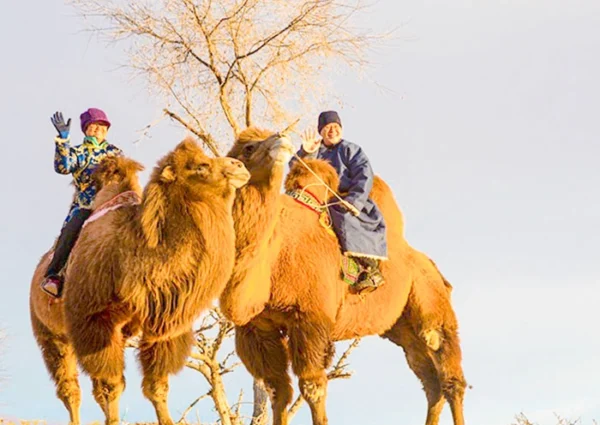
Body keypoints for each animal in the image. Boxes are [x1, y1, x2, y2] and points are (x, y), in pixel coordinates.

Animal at [30, 139, 250, 425]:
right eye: (200, 166)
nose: (239, 166)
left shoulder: (163, 329)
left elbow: (157, 385)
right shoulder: (94, 321)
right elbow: (111, 385)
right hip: (50, 333)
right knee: (70, 389)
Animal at [222, 128, 466, 425]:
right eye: (247, 148)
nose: (281, 138)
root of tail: (432, 267)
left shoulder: (310, 319)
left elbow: (312, 387)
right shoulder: (257, 330)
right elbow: (277, 390)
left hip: (432, 306)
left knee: (450, 377)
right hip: (402, 328)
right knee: (430, 381)